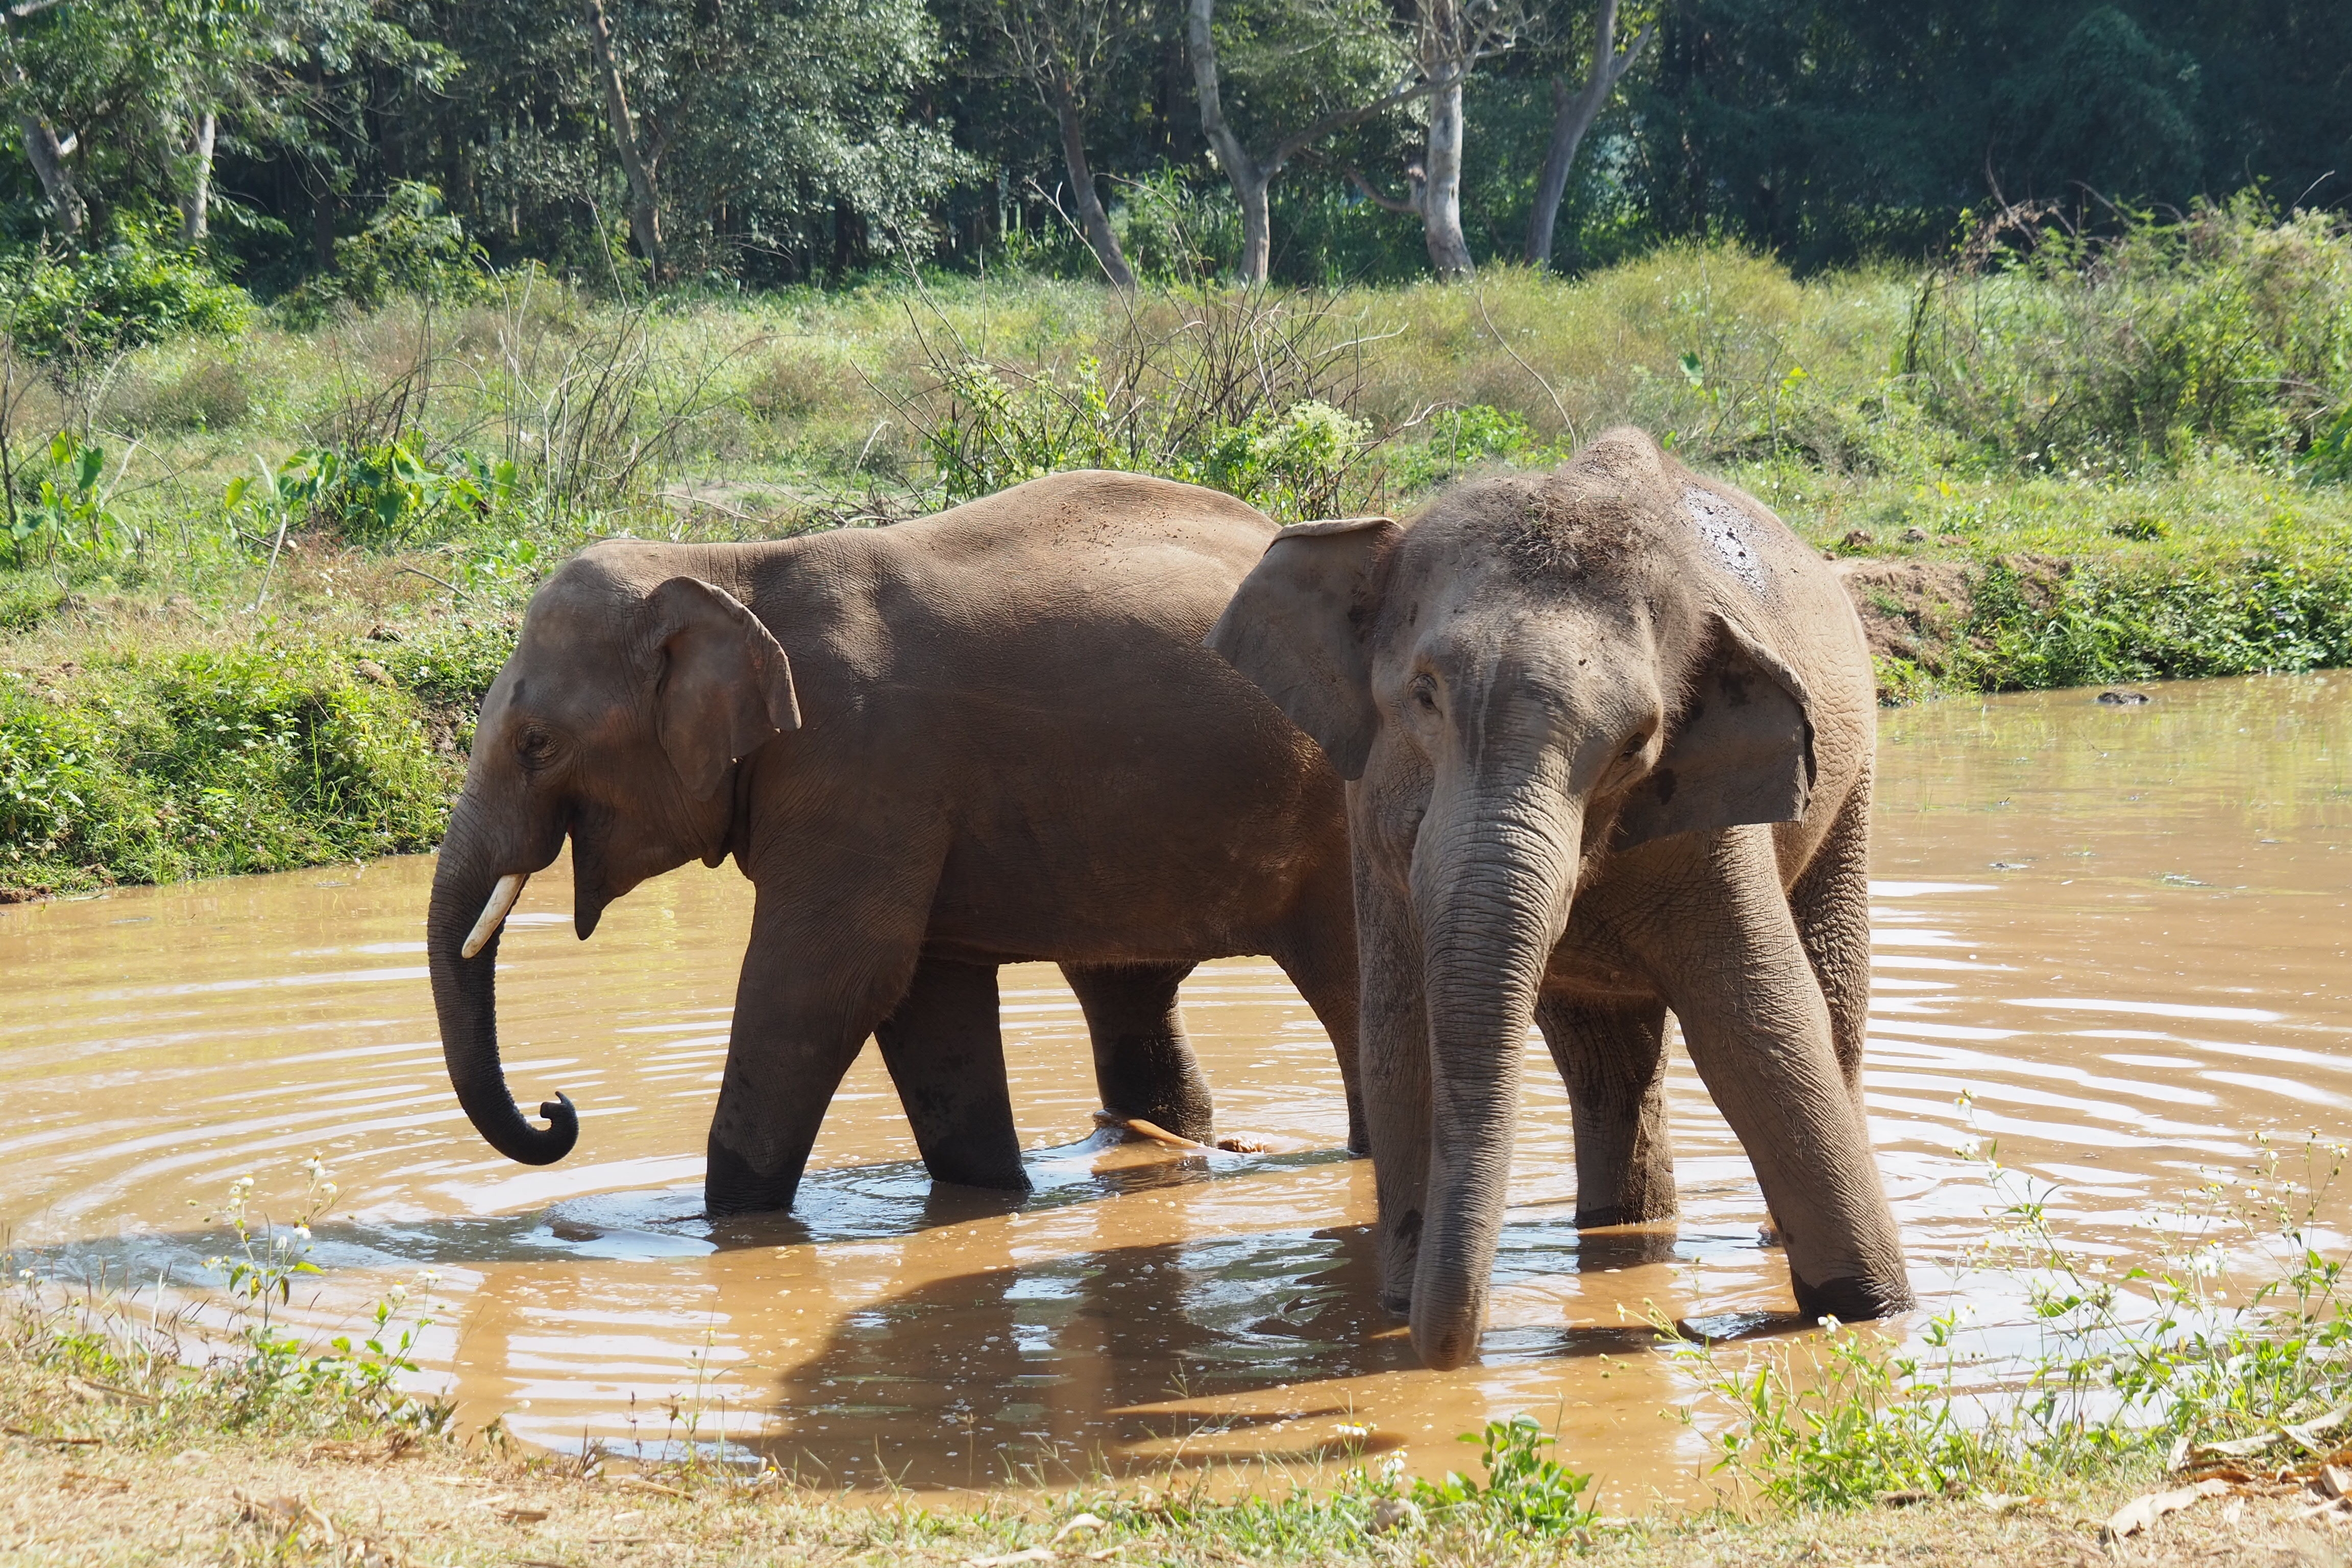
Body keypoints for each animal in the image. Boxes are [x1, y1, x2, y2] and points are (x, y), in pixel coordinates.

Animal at [426, 470, 1363, 1216]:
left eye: (536, 744)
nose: (556, 1109)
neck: (727, 565)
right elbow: (923, 993)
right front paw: (993, 1196)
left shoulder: (864, 760)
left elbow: (829, 978)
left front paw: (726, 1227)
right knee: (1126, 991)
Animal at [1207, 426, 1912, 1369]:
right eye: (1424, 695)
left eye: (1637, 742)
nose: (1456, 1350)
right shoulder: (1369, 816)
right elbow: (1400, 1032)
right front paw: (1392, 1307)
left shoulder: (1711, 820)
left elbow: (1759, 1026)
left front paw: (1870, 1310)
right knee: (1602, 1064)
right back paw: (1620, 1228)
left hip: (1853, 785)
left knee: (1828, 1006)